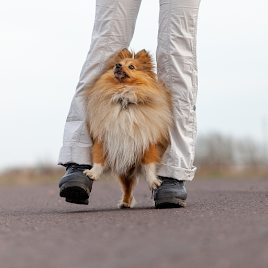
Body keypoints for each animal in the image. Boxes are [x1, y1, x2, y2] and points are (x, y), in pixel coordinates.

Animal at [82, 48, 173, 207]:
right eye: (118, 63)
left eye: (131, 66)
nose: (117, 65)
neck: (124, 100)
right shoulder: (104, 138)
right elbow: (99, 159)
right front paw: (92, 173)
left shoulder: (148, 142)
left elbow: (149, 165)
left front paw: (153, 182)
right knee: (127, 186)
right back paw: (125, 203)